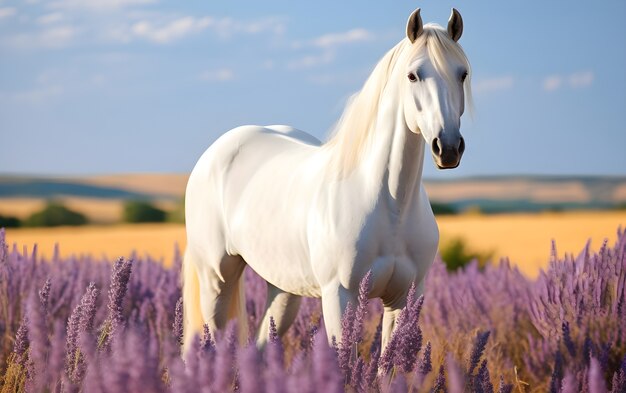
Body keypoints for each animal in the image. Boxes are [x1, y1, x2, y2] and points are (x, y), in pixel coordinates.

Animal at [183, 8, 470, 352]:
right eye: (413, 75)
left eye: (462, 74)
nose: (448, 147)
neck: (391, 205)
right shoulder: (339, 296)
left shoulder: (404, 299)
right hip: (216, 281)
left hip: (283, 289)